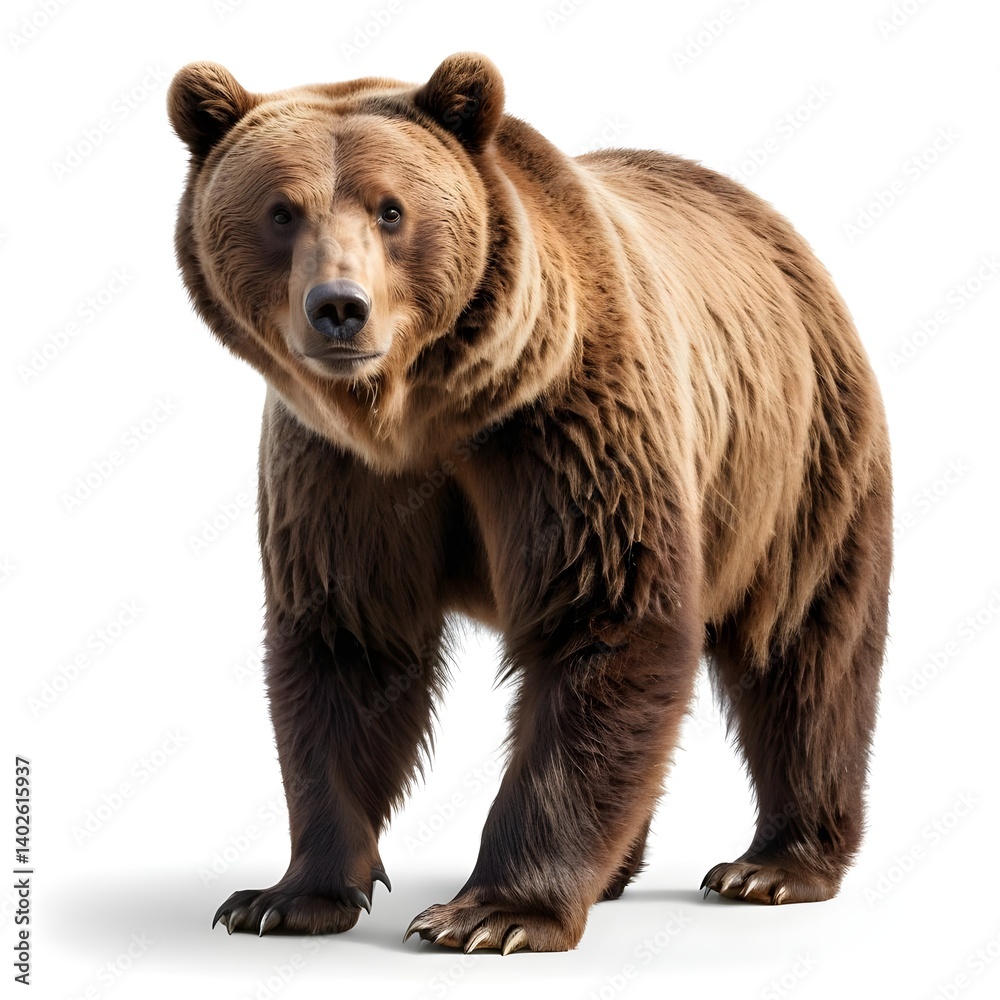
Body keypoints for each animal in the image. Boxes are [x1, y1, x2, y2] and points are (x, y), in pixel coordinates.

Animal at [168, 53, 892, 954]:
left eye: (391, 209)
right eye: (280, 210)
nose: (338, 307)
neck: (423, 412)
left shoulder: (568, 424)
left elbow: (606, 620)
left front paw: (490, 914)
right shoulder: (338, 475)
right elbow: (348, 647)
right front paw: (285, 896)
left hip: (796, 460)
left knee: (805, 650)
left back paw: (773, 865)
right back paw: (620, 871)